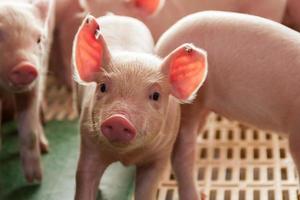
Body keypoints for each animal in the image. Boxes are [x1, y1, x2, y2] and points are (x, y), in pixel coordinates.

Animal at [0, 0, 55, 183]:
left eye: (38, 39)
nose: (25, 66)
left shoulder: (34, 83)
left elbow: (29, 130)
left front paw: (35, 179)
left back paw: (45, 146)